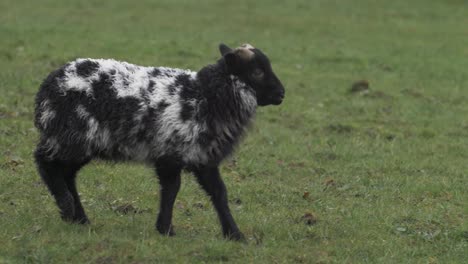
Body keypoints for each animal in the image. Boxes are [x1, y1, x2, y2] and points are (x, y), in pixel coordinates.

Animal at [33, 42, 286, 240]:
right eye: (257, 71)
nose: (282, 93)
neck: (206, 96)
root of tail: (47, 86)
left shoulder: (202, 157)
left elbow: (218, 193)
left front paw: (234, 234)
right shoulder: (170, 153)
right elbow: (172, 190)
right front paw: (166, 229)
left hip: (81, 142)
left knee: (66, 174)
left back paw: (80, 218)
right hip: (72, 136)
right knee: (45, 163)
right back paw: (67, 207)